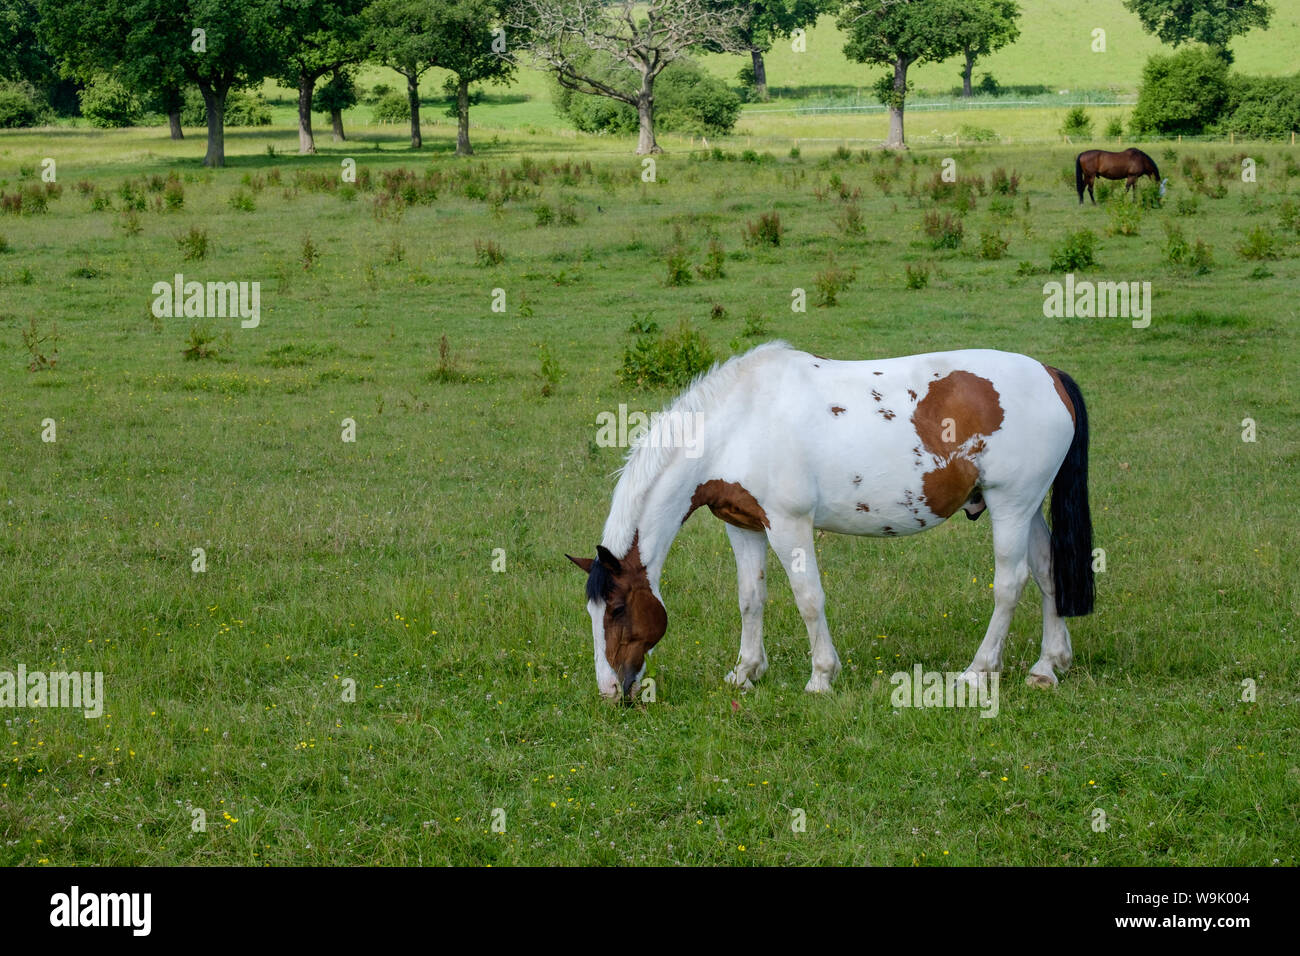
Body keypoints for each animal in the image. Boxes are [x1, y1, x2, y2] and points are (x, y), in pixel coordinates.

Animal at [564, 343, 1092, 702]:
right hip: (1026, 508)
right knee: (1048, 573)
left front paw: (821, 676)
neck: (739, 424)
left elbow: (808, 598)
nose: (609, 689)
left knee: (1011, 583)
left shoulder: (788, 525)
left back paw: (978, 671)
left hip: (1011, 505)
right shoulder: (744, 525)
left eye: (616, 610)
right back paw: (1048, 667)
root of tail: (1050, 375)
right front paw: (746, 671)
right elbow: (750, 599)